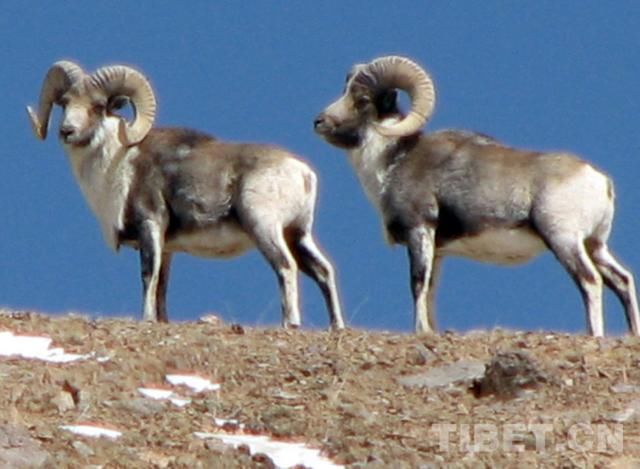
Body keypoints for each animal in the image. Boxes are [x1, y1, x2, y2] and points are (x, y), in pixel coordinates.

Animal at [28, 59, 344, 330]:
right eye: (65, 103)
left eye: (97, 106)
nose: (66, 131)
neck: (116, 163)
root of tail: (303, 173)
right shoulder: (167, 247)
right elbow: (161, 287)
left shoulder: (150, 225)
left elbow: (148, 275)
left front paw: (147, 319)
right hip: (297, 234)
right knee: (324, 271)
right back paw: (336, 327)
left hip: (265, 228)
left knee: (286, 266)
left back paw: (290, 324)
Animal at [312, 54, 636, 334]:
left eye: (362, 100)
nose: (319, 122)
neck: (391, 160)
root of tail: (600, 181)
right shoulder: (437, 250)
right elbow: (429, 290)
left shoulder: (420, 230)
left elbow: (417, 283)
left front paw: (420, 330)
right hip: (594, 245)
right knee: (622, 280)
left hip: (564, 240)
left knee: (590, 281)